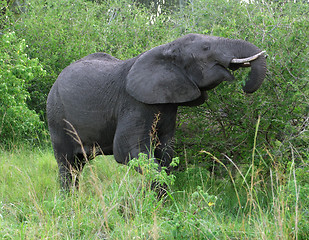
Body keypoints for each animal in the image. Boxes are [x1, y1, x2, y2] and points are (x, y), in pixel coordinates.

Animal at [47, 33, 266, 191]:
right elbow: (126, 149)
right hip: (56, 116)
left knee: (78, 165)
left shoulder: (167, 103)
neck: (166, 48)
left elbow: (165, 151)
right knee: (68, 165)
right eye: (206, 48)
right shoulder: (133, 103)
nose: (246, 86)